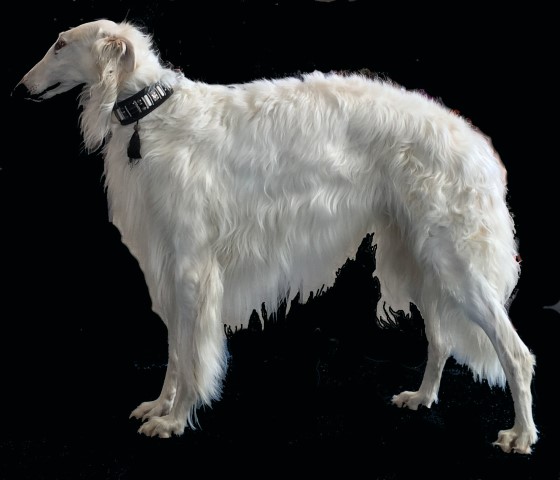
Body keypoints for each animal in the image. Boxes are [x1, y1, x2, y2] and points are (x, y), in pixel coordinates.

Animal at [14, 19, 538, 453]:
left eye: (60, 44)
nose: (20, 89)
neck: (153, 114)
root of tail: (478, 146)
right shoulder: (166, 267)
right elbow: (174, 352)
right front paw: (160, 406)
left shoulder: (192, 267)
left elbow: (192, 354)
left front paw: (176, 419)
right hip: (422, 257)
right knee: (441, 339)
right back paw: (423, 396)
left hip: (455, 262)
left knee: (515, 352)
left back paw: (520, 434)